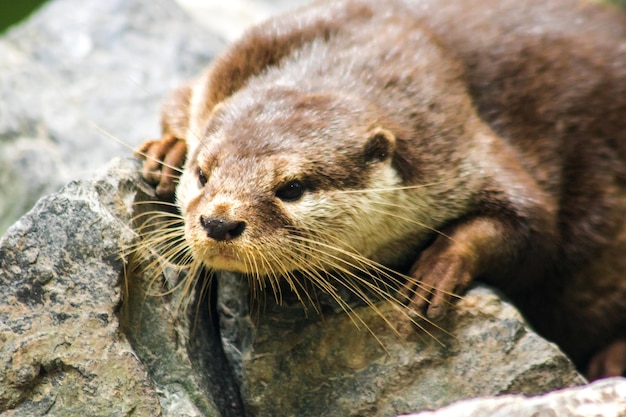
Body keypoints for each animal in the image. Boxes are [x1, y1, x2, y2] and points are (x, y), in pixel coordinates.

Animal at [134, 0, 624, 376]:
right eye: (203, 173)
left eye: (292, 187)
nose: (219, 222)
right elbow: (177, 98)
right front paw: (168, 149)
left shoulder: (459, 142)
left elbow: (534, 228)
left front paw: (436, 270)